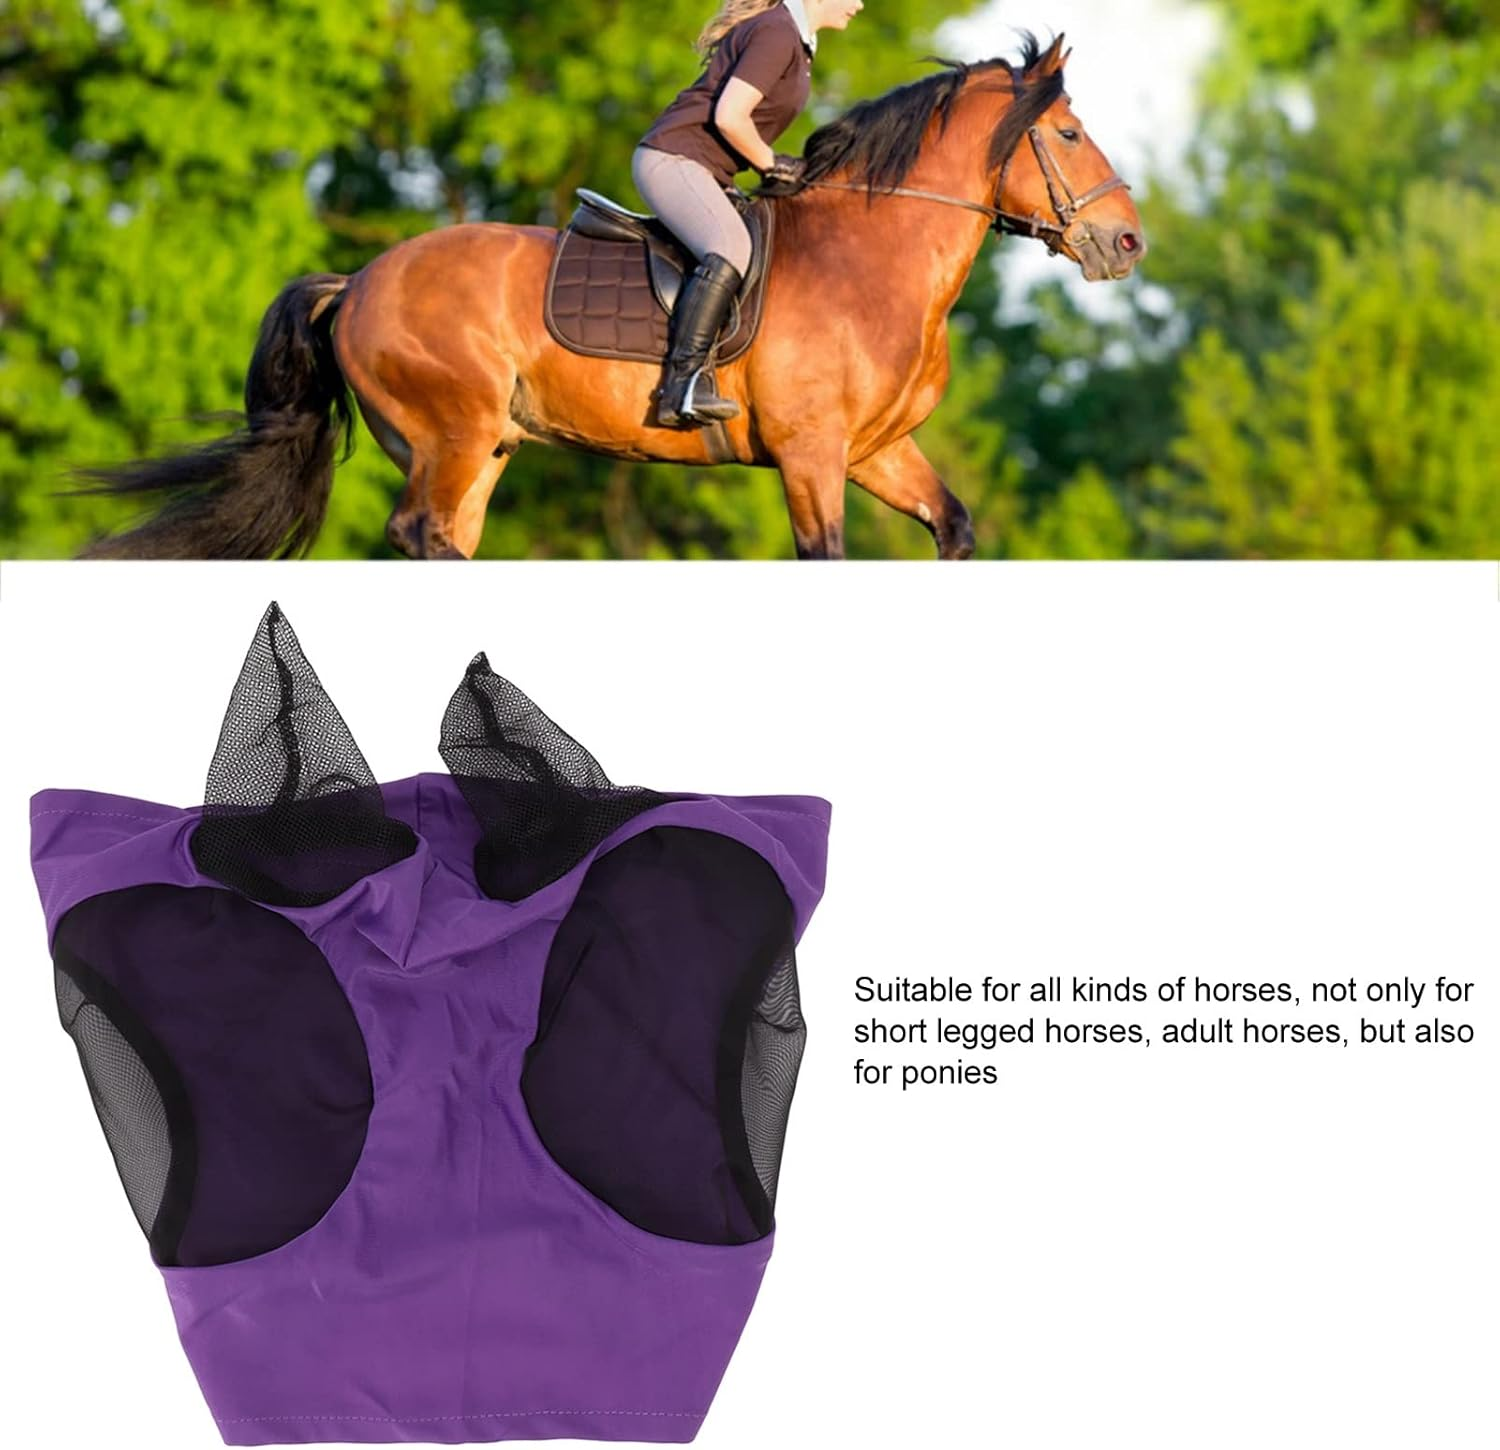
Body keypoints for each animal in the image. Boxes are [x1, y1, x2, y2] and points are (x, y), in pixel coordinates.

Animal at [79, 32, 1145, 561]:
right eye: (1072, 134)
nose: (1128, 241)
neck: (871, 257)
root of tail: (362, 278)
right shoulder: (812, 457)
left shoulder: (877, 450)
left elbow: (954, 529)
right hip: (450, 434)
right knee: (423, 537)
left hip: (482, 449)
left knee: (442, 542)